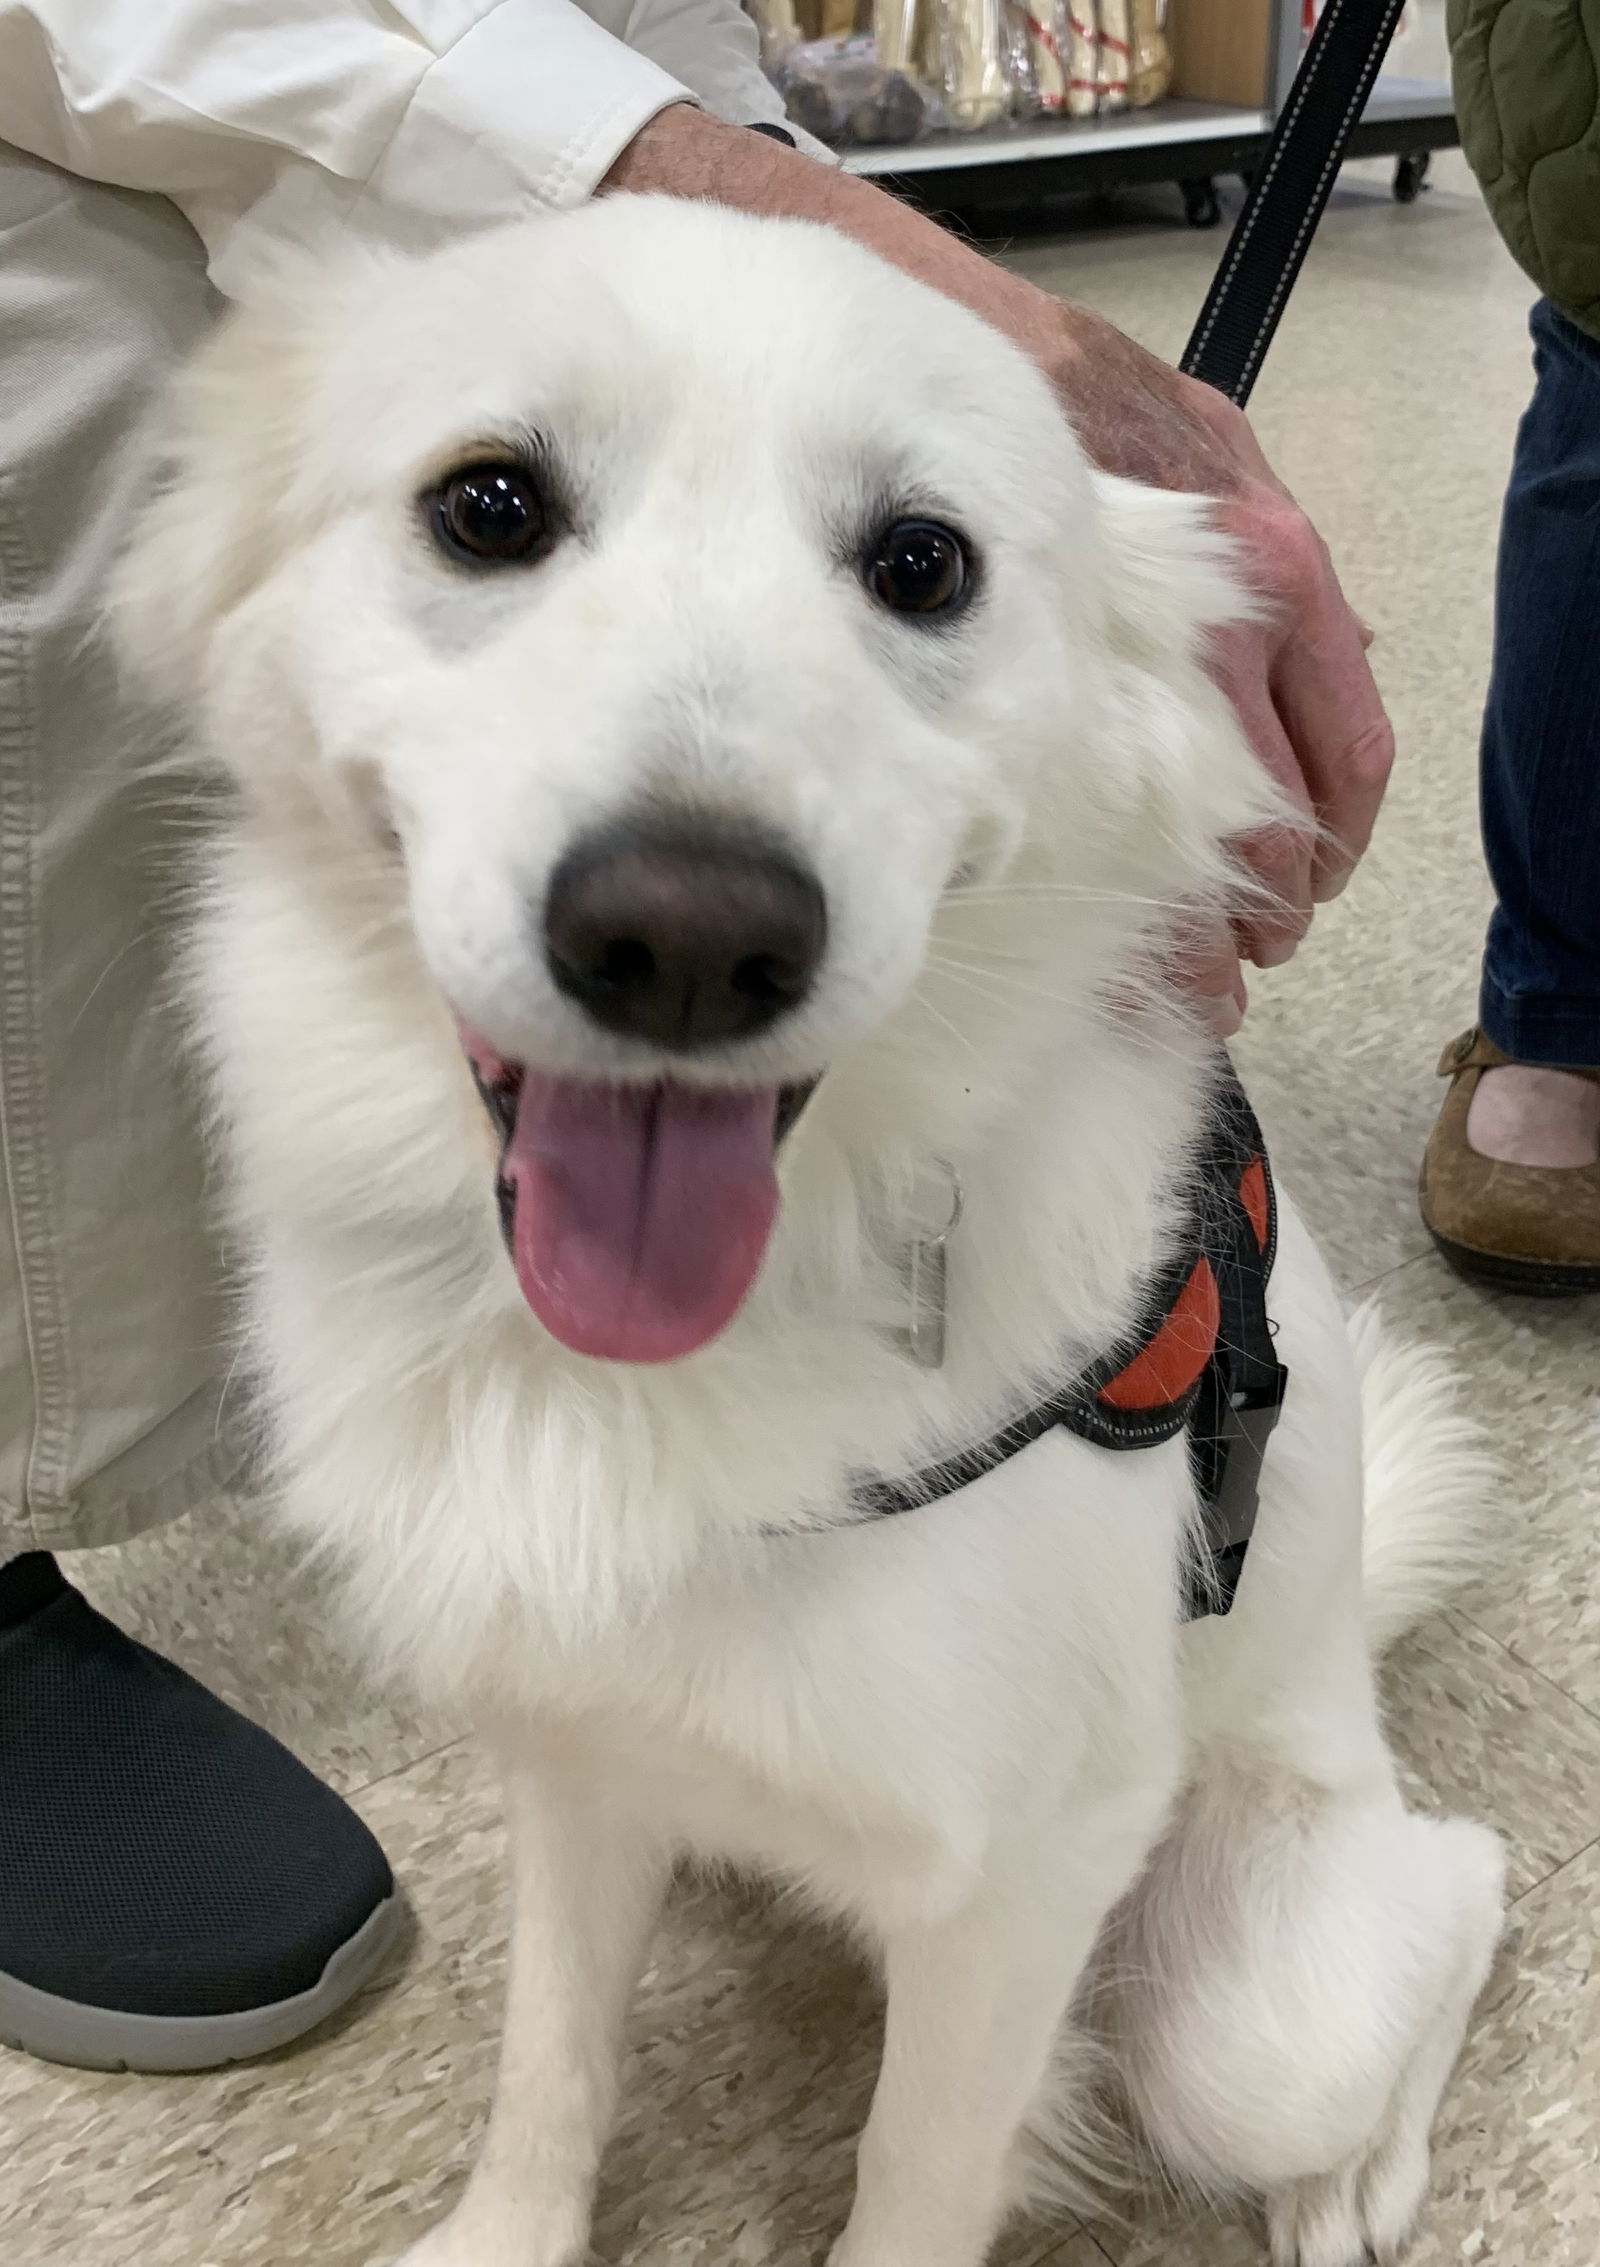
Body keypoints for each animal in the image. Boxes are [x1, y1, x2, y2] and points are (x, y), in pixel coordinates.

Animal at [118, 199, 1504, 2267]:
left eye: (923, 562)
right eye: (489, 505)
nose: (686, 937)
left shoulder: (1021, 1881)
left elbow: (915, 2174)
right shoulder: (576, 1764)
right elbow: (551, 2068)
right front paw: (510, 2229)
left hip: (1265, 2009)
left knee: (1458, 1888)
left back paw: (1357, 2182)